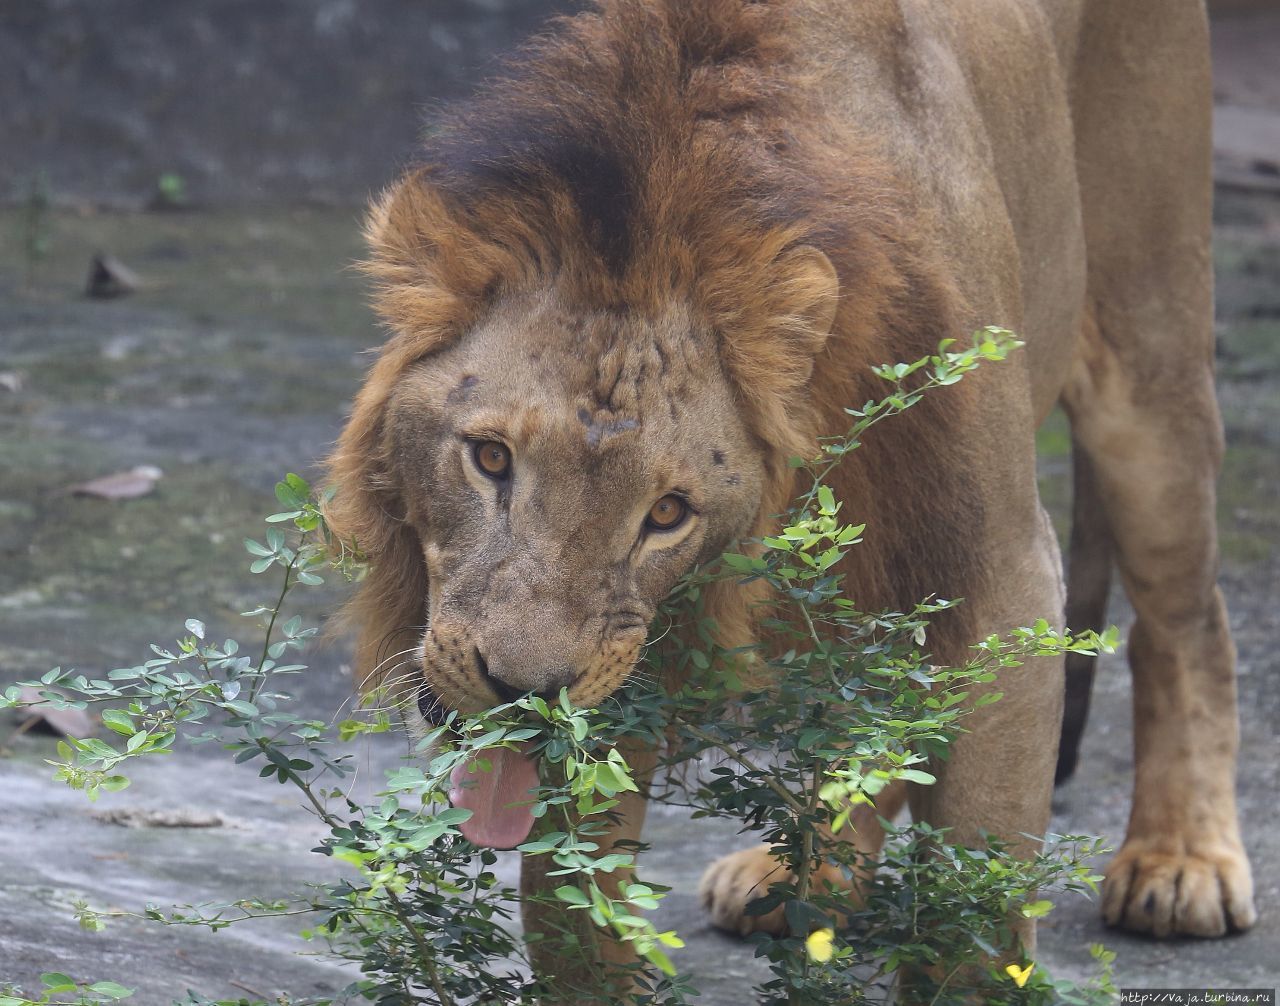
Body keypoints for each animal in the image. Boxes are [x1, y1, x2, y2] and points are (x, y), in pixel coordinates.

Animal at [325, 0, 1254, 988]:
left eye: (667, 513)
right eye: (492, 459)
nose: (524, 694)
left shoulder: (1003, 569)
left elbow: (975, 908)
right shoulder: (624, 656)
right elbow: (571, 908)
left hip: (1148, 353)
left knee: (1187, 623)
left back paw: (1181, 862)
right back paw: (803, 877)